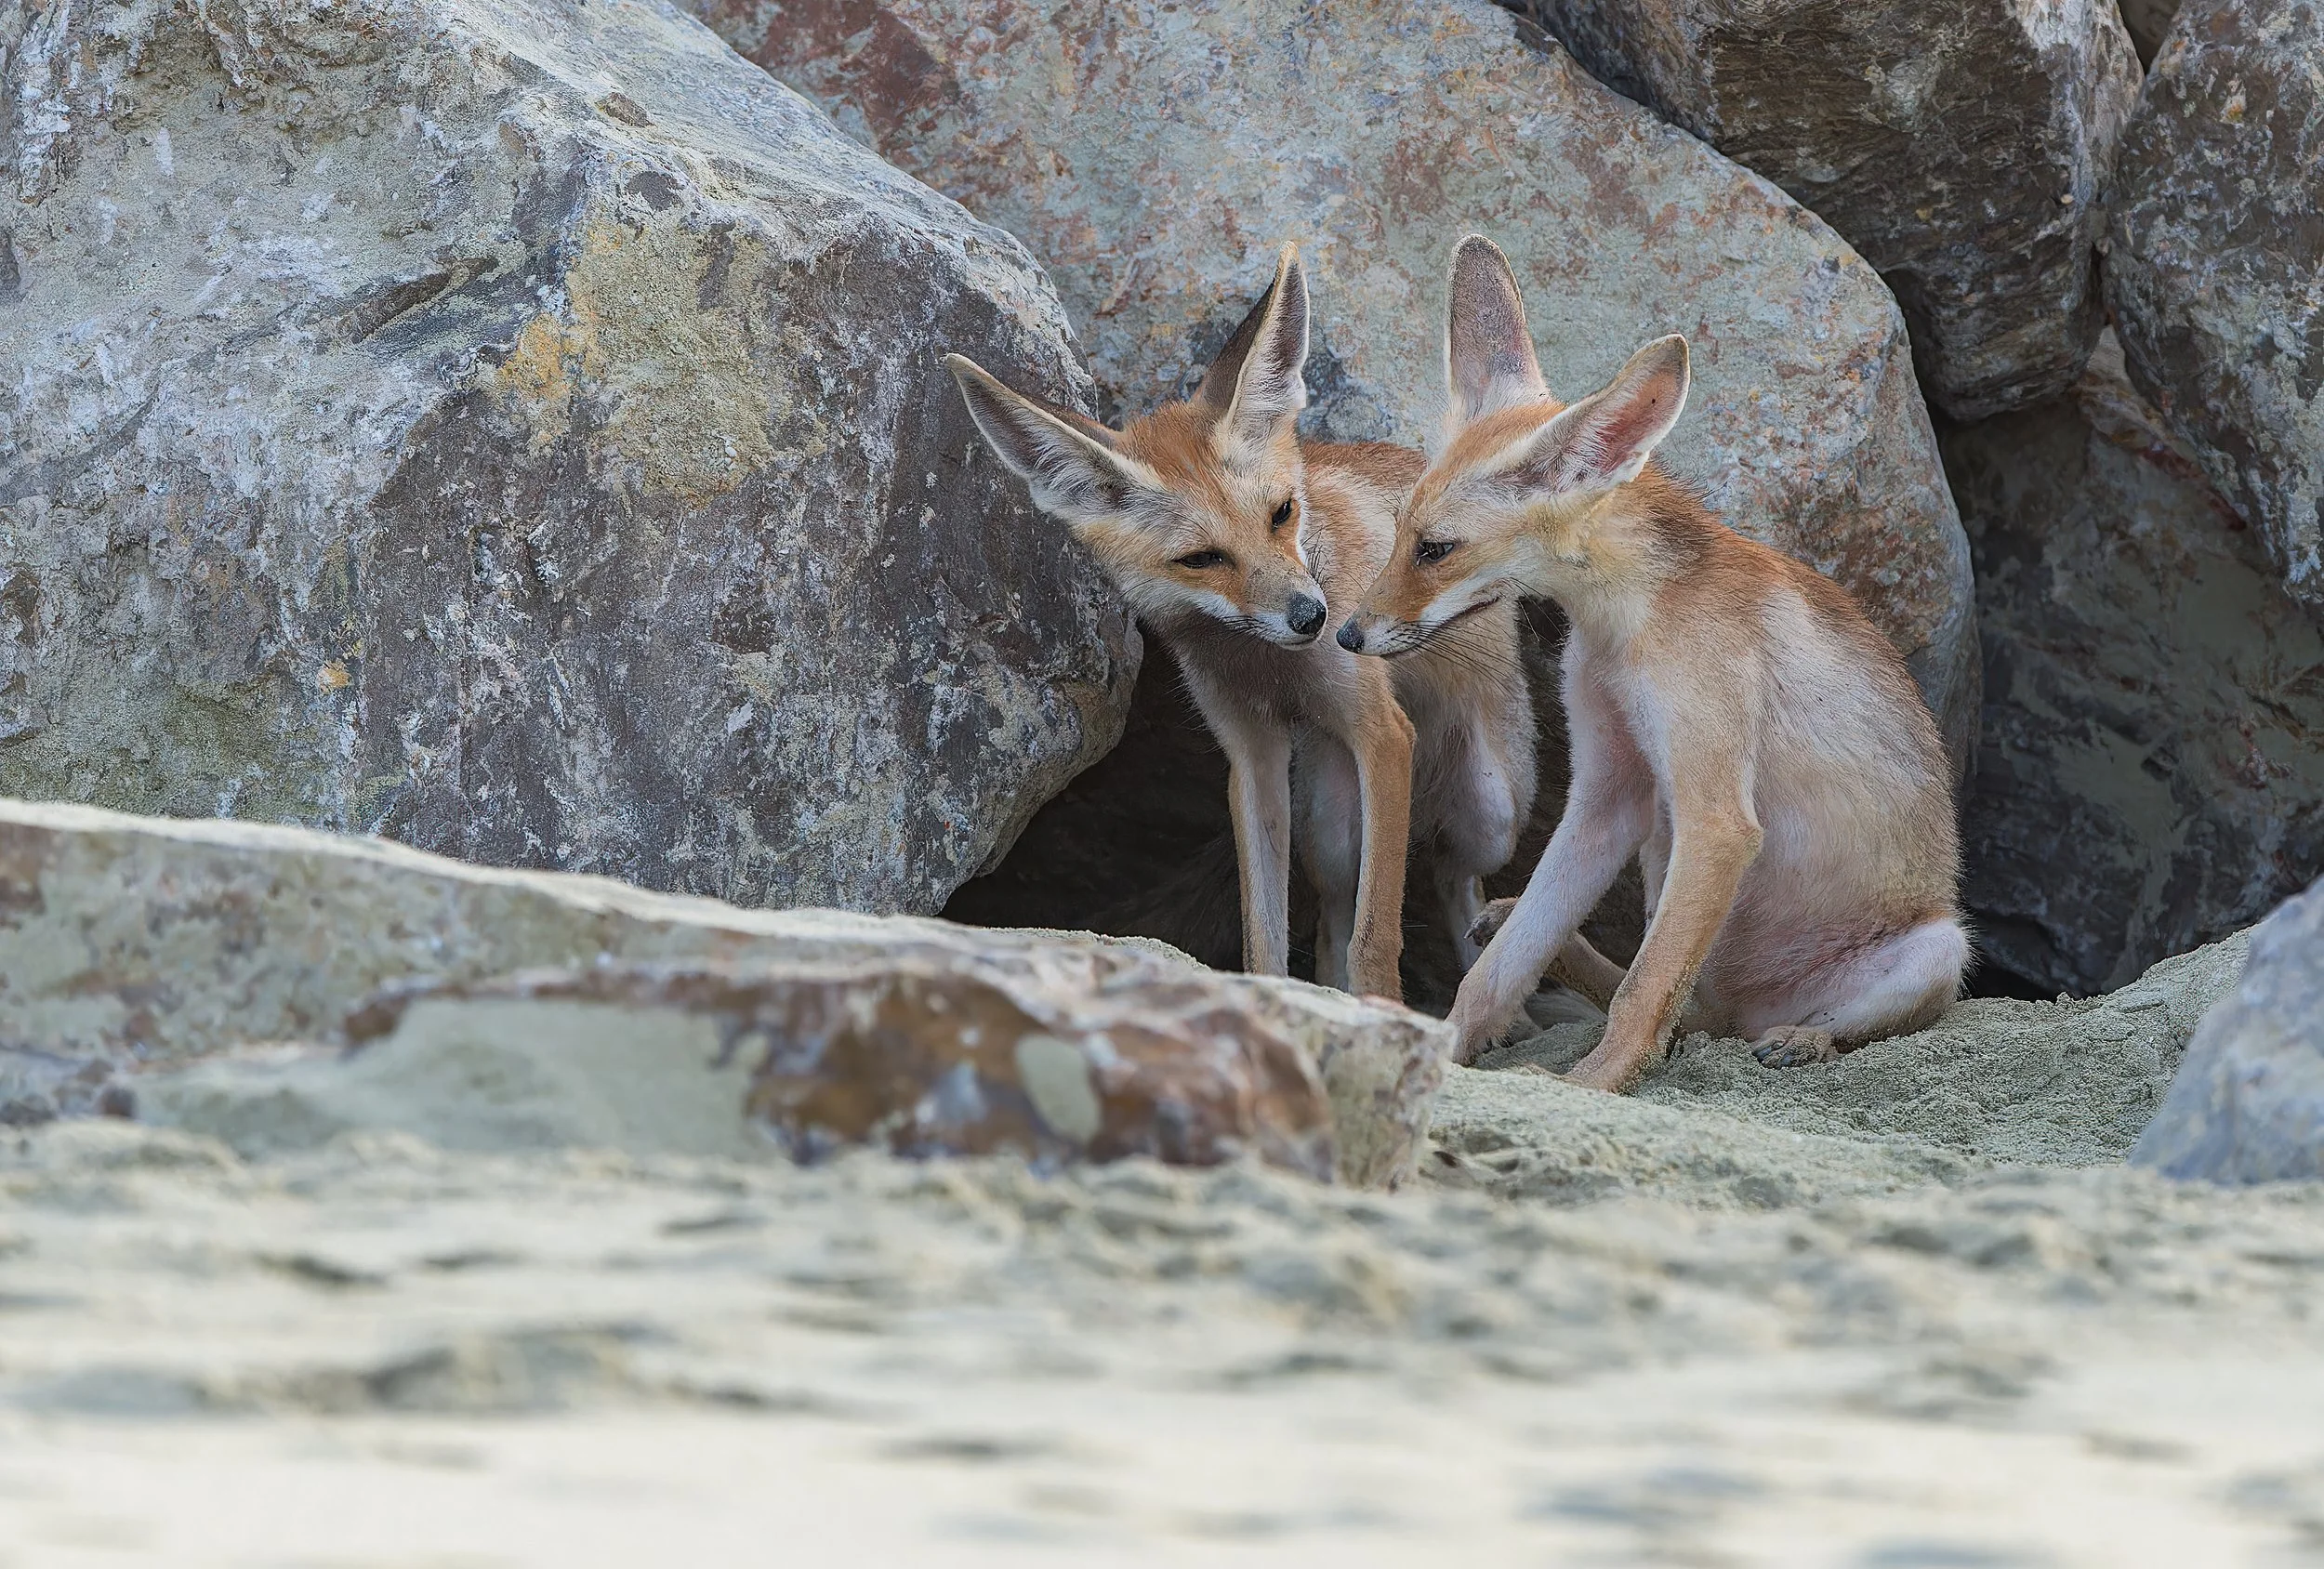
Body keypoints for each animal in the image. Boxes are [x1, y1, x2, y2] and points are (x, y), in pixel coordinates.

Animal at [946, 245, 1535, 1003]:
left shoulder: (1381, 733)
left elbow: (1378, 936)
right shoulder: (1251, 756)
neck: (1268, 669)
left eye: (1282, 513)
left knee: (1452, 879)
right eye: (1203, 559)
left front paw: (1382, 1008)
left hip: (1489, 809)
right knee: (1336, 911)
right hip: (1330, 823)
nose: (1316, 618)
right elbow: (1268, 933)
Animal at [1337, 235, 1968, 1090]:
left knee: (1753, 1016)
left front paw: (1594, 1087)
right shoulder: (1610, 793)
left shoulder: (1718, 817)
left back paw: (1803, 1040)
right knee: (1678, 1010)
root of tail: (1745, 1008)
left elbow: (1640, 992)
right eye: (1398, 527)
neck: (1629, 628)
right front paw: (1453, 1051)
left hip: (1938, 949)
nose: (1346, 634)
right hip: (1663, 859)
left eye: (1436, 549)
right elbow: (1504, 966)